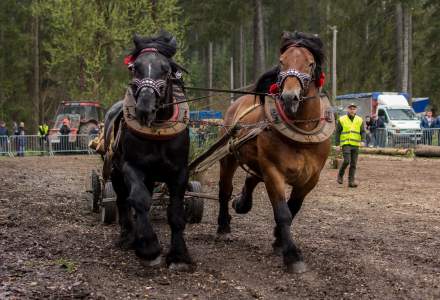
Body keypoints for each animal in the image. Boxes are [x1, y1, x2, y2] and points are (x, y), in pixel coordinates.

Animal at [106, 31, 192, 270]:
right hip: (116, 172)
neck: (158, 131)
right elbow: (140, 200)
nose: (145, 107)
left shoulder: (180, 172)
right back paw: (128, 236)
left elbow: (176, 212)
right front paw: (148, 248)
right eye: (135, 68)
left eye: (166, 69)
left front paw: (179, 255)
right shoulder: (131, 167)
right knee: (122, 200)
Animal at [217, 31, 330, 274]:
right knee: (224, 190)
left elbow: (293, 208)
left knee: (250, 179)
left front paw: (279, 240)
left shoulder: (310, 179)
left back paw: (242, 203)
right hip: (229, 157)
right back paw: (223, 227)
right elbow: (283, 213)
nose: (289, 97)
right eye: (282, 61)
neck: (302, 134)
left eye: (310, 63)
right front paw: (292, 255)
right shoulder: (273, 171)